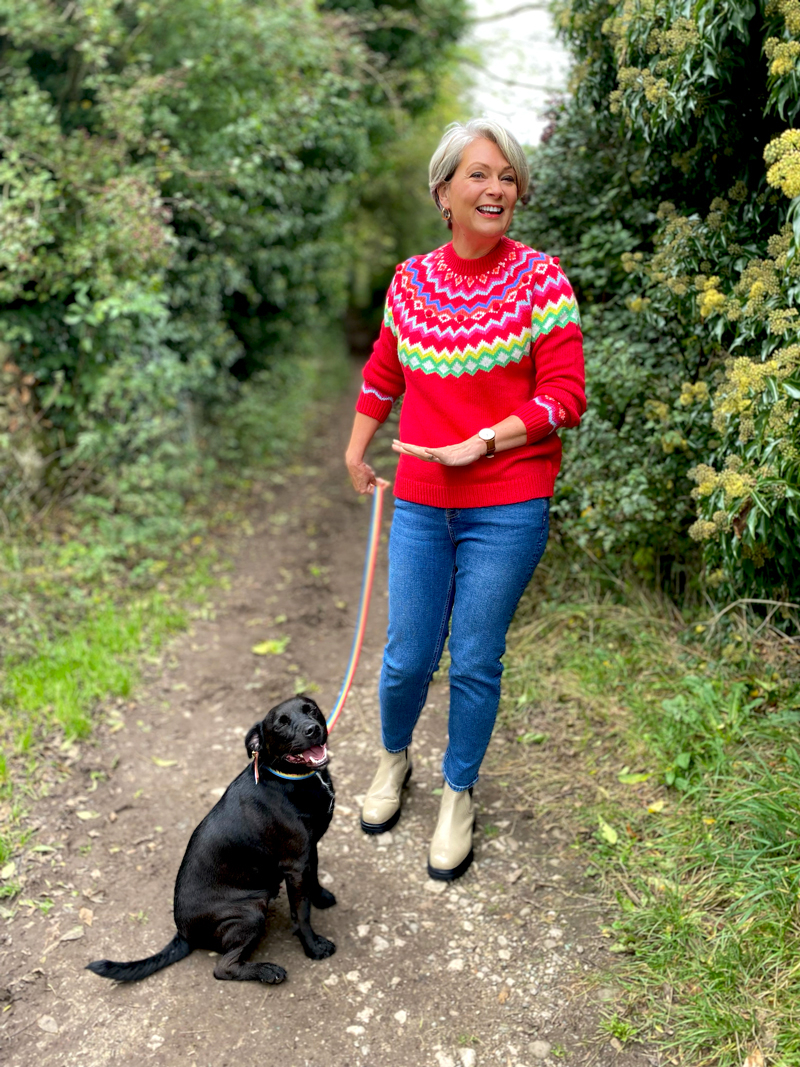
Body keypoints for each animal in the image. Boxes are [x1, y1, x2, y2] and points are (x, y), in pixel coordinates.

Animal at [86, 699, 337, 981]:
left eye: (310, 709)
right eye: (281, 724)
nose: (312, 730)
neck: (292, 778)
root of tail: (183, 934)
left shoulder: (308, 852)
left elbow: (313, 879)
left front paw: (321, 897)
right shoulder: (295, 865)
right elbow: (301, 914)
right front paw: (313, 947)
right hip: (250, 912)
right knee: (223, 968)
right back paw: (267, 971)